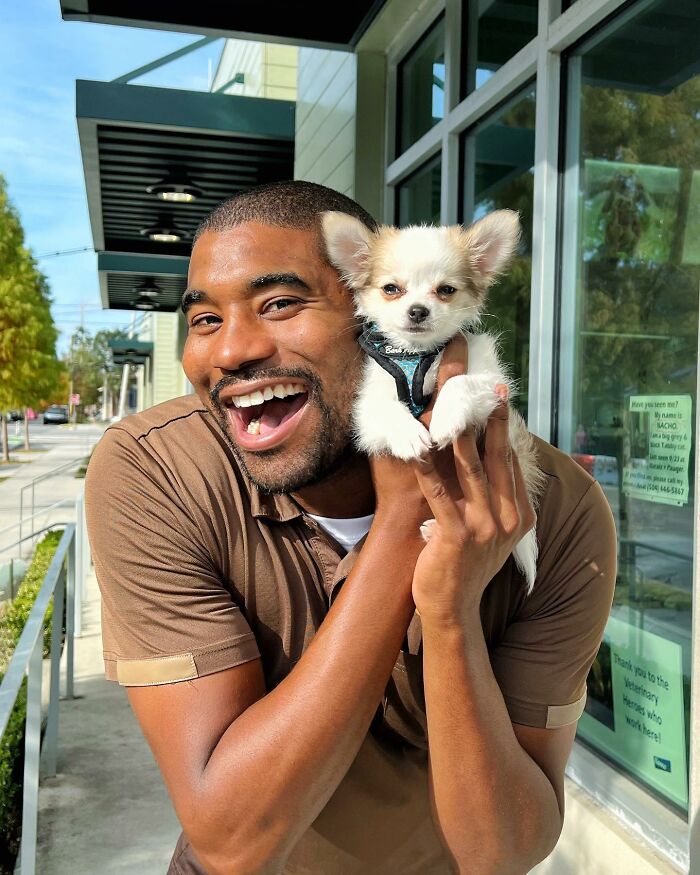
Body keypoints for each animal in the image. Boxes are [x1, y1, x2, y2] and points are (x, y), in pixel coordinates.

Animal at [320, 210, 544, 596]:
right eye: (391, 289)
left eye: (446, 290)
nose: (418, 310)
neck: (418, 355)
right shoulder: (367, 409)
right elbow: (387, 410)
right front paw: (409, 436)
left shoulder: (492, 383)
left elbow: (457, 382)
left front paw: (444, 418)